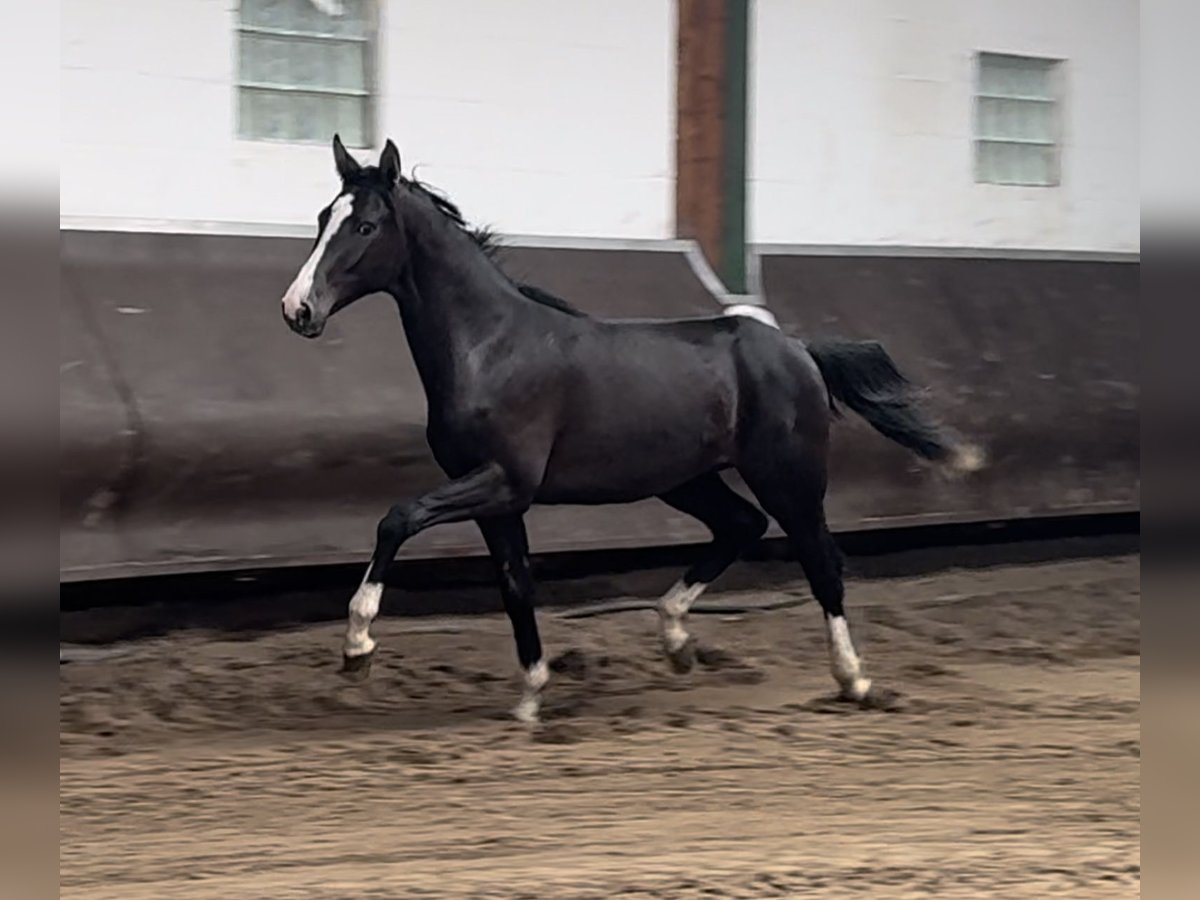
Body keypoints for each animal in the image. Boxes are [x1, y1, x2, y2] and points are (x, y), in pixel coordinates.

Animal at [283, 135, 984, 724]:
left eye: (365, 226)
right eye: (321, 218)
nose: (298, 310)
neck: (490, 346)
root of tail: (800, 350)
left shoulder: (503, 481)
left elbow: (397, 518)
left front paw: (358, 648)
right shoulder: (499, 500)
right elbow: (515, 584)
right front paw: (531, 698)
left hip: (789, 475)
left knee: (822, 562)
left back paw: (854, 681)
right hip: (687, 479)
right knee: (741, 525)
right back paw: (675, 639)